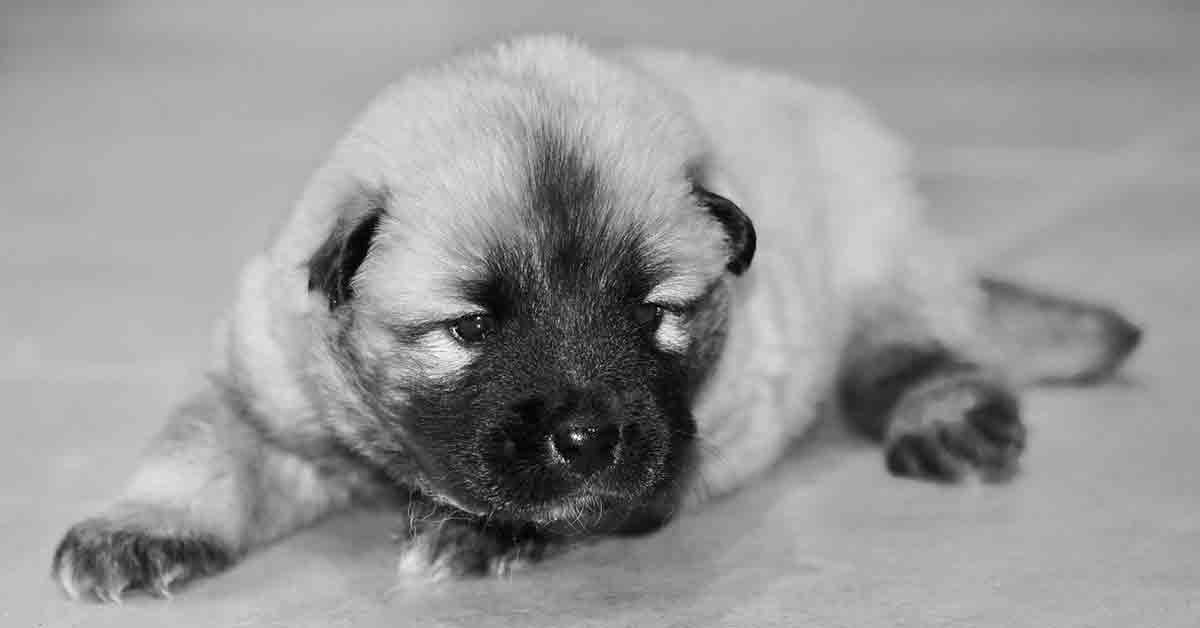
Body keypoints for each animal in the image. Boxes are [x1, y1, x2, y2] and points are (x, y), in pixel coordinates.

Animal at [54, 35, 1142, 605]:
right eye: (470, 328)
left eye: (656, 314)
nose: (587, 437)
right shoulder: (263, 389)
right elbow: (197, 449)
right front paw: (138, 527)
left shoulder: (690, 440)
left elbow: (586, 502)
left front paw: (475, 532)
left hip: (880, 265)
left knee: (923, 348)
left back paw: (948, 415)